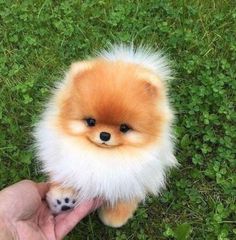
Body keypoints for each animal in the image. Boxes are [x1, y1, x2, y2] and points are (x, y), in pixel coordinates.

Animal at [34, 44, 176, 227]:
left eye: (124, 128)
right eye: (91, 122)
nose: (104, 135)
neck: (102, 155)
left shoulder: (134, 178)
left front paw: (114, 217)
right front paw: (62, 199)